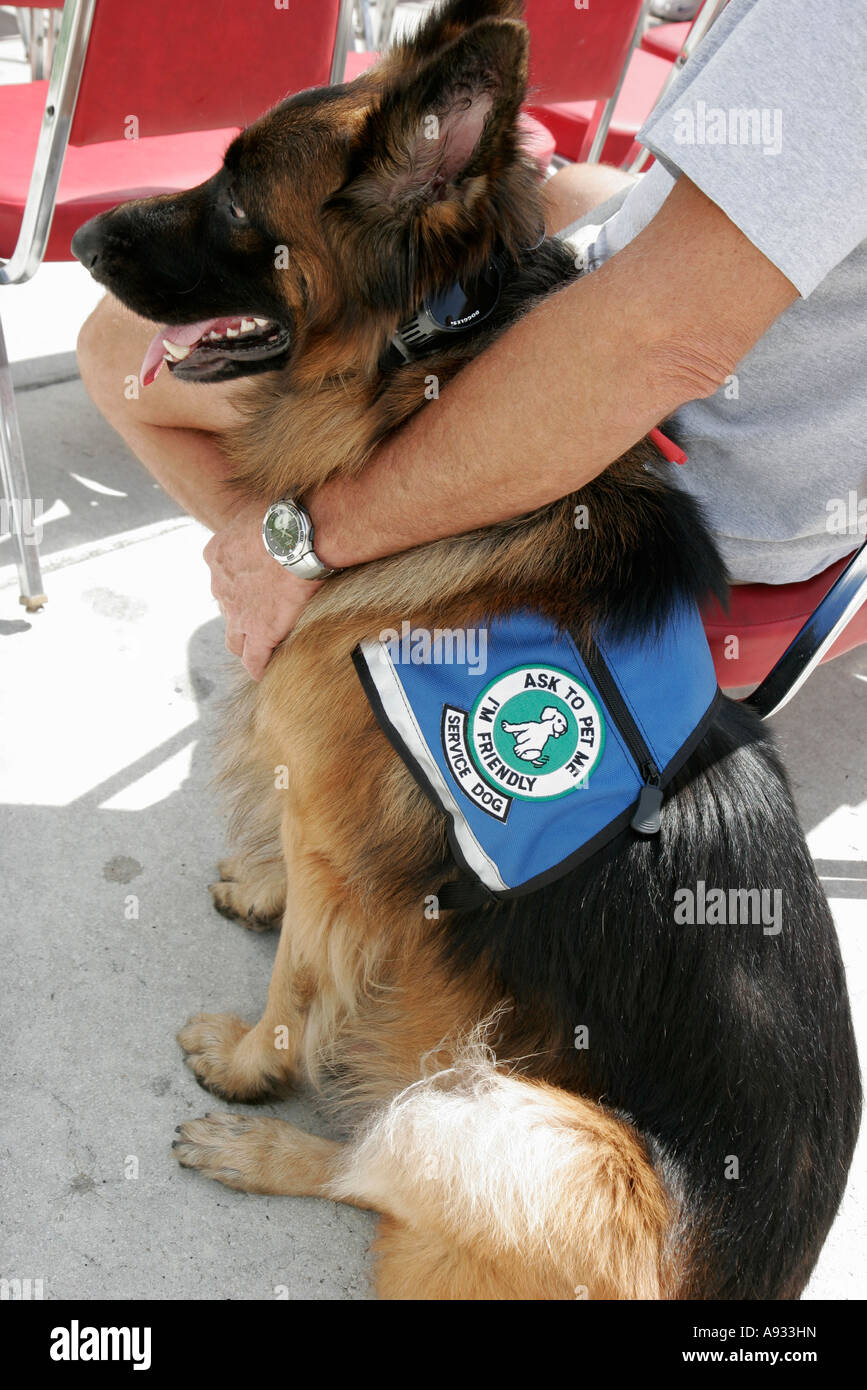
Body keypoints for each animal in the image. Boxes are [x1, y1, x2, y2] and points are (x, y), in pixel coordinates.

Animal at [74, 2, 861, 1301]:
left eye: (237, 200)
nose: (78, 234)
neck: (405, 377)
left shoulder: (338, 843)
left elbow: (302, 979)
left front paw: (249, 1061)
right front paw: (262, 887)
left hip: (497, 1115)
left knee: (371, 1166)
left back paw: (257, 1144)